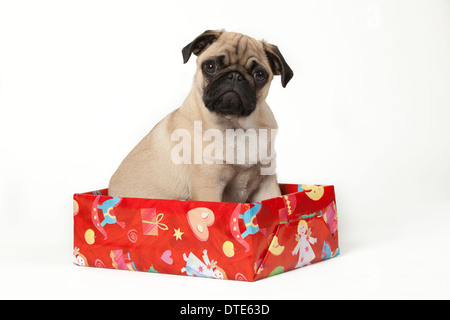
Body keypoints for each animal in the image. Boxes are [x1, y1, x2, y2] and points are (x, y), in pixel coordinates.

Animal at [108, 28, 292, 201]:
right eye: (210, 66)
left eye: (259, 75)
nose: (235, 76)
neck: (235, 125)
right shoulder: (208, 186)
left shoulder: (266, 184)